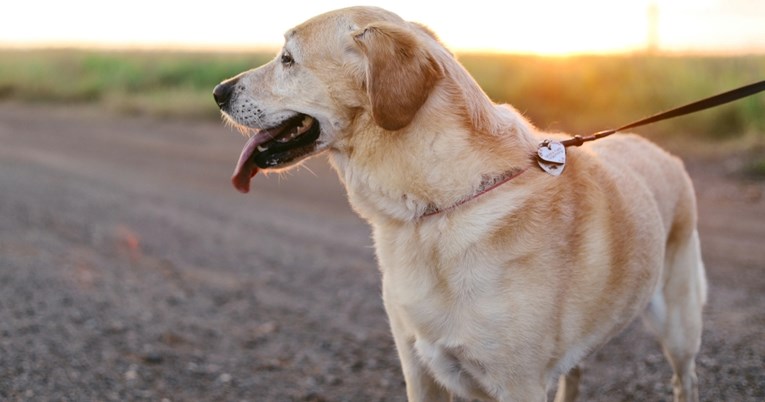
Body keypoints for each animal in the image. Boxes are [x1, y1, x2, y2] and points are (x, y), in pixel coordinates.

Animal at [212, 7, 708, 402]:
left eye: (288, 59)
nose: (218, 92)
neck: (432, 208)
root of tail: (664, 153)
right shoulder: (421, 371)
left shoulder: (519, 385)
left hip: (680, 329)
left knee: (684, 380)